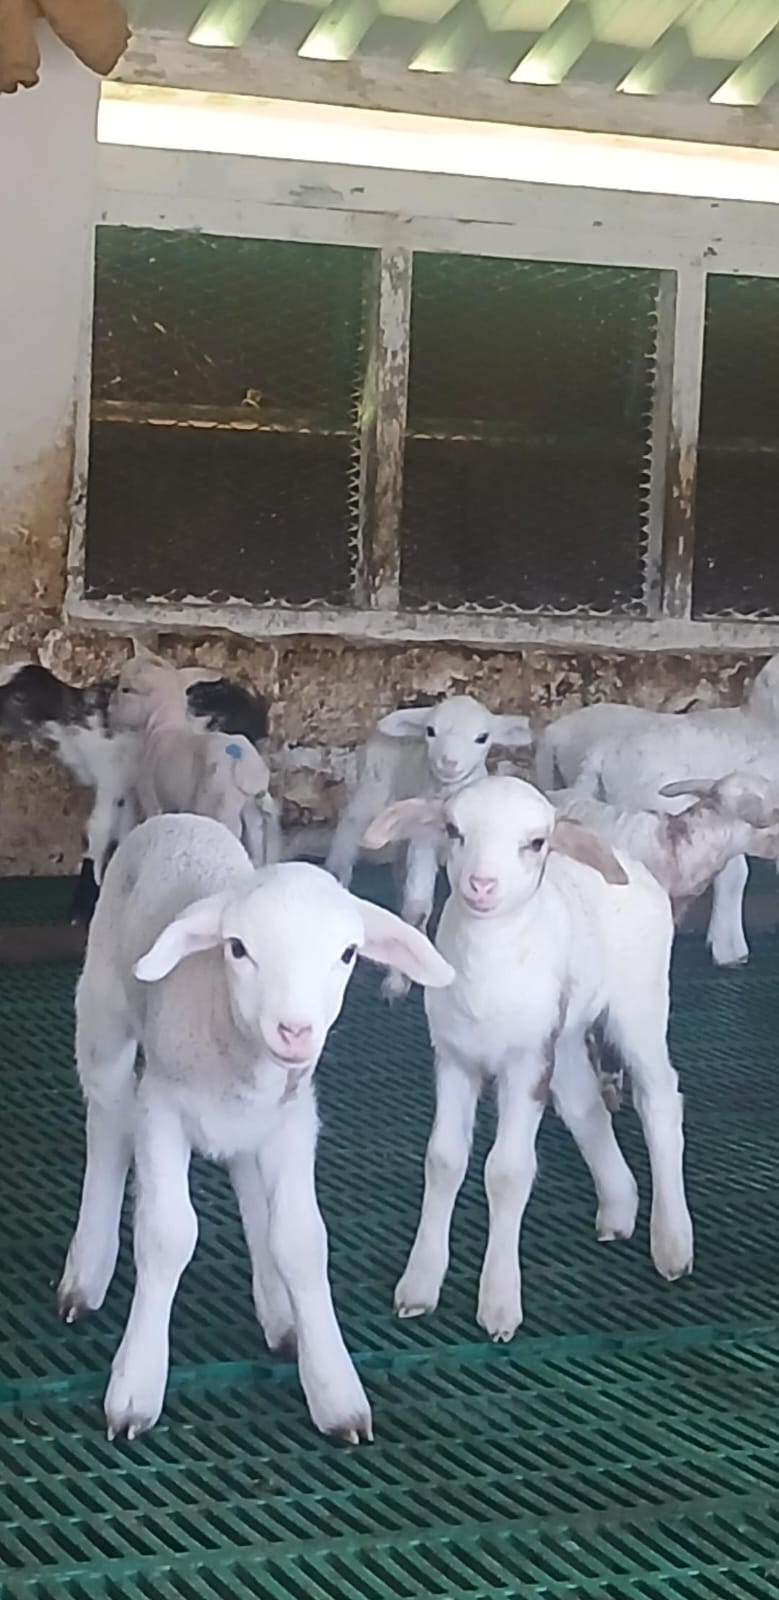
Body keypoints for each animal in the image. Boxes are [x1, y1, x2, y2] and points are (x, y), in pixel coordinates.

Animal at [58, 813, 454, 1442]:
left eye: (348, 954)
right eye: (238, 948)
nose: (295, 1030)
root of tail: (179, 818)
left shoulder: (292, 1121)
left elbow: (301, 1240)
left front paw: (333, 1387)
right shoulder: (162, 1110)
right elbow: (168, 1235)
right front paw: (136, 1386)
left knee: (245, 1176)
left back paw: (279, 1313)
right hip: (104, 1015)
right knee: (109, 1123)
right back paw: (86, 1273)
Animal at [111, 655, 281, 869]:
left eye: (125, 689)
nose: (109, 708)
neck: (164, 725)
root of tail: (245, 765)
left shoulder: (151, 797)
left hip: (218, 807)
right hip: (252, 815)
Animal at [326, 694, 533, 1002]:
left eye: (482, 737)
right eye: (431, 731)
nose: (448, 762)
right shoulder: (423, 844)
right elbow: (417, 908)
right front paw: (396, 984)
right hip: (369, 795)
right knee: (347, 839)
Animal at [364, 775, 693, 1339]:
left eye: (536, 842)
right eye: (453, 831)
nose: (481, 885)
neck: (486, 969)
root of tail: (629, 862)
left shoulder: (524, 1064)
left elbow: (507, 1171)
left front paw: (498, 1304)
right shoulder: (454, 1056)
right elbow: (443, 1160)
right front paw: (419, 1284)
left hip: (641, 1002)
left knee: (659, 1101)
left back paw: (672, 1244)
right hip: (562, 1033)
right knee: (585, 1105)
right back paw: (618, 1207)